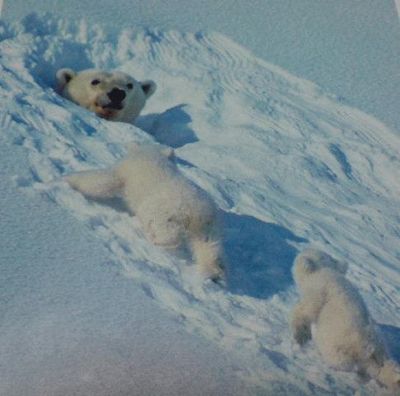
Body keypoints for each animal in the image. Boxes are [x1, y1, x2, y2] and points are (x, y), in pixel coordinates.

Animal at [65, 144, 225, 280]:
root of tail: (197, 211)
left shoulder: (125, 173)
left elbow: (104, 180)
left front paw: (69, 180)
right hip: (208, 227)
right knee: (209, 247)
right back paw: (214, 272)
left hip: (166, 212)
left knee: (166, 232)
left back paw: (154, 239)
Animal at [290, 249, 400, 392]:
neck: (323, 269)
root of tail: (367, 345)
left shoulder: (318, 292)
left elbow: (303, 311)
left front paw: (300, 335)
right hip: (378, 344)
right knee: (383, 366)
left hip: (336, 343)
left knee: (337, 357)